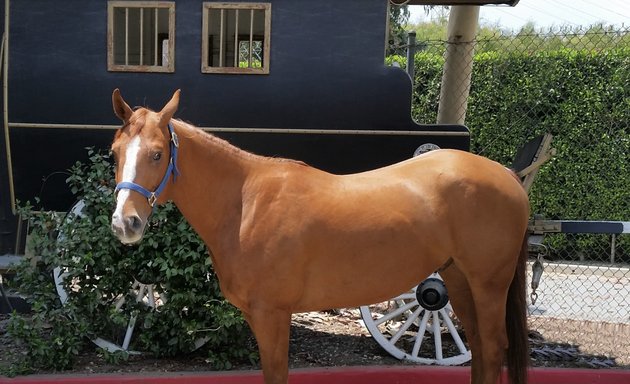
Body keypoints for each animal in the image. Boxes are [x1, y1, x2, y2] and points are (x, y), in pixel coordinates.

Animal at [110, 88, 532, 382]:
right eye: (115, 152)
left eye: (157, 154)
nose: (124, 223)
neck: (245, 203)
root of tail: (506, 175)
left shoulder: (272, 315)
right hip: (459, 279)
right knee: (479, 348)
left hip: (488, 284)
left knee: (493, 349)